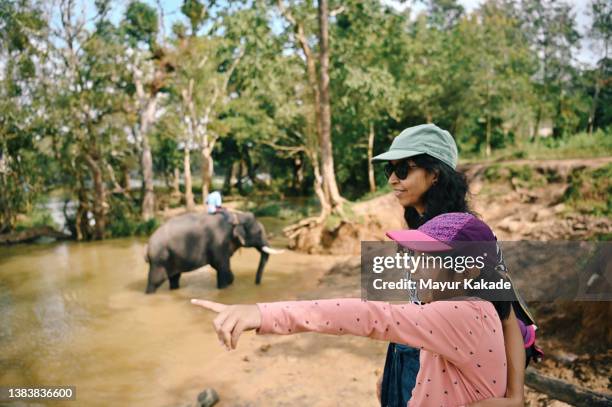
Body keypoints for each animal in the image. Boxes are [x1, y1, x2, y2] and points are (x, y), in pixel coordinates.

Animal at [145, 210, 284, 294]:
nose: (257, 284)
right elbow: (221, 266)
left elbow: (221, 267)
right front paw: (223, 288)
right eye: (259, 232)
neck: (237, 216)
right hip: (159, 259)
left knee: (175, 278)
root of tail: (148, 245)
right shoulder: (218, 242)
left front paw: (230, 282)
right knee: (155, 281)